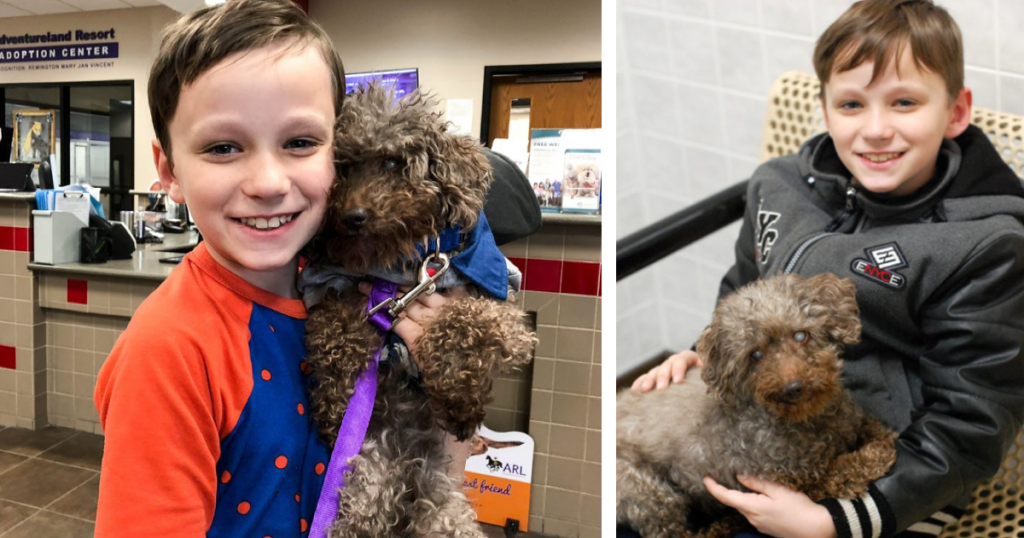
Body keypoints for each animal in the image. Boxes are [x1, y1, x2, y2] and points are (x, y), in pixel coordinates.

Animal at [301, 80, 536, 536]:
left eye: (392, 161)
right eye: (343, 167)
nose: (352, 216)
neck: (399, 264)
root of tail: (410, 474)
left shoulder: (497, 298)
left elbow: (464, 324)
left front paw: (461, 399)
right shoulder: (331, 284)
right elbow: (338, 331)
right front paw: (335, 404)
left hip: (445, 513)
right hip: (368, 481)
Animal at [614, 274, 897, 532]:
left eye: (800, 336)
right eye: (756, 355)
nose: (793, 388)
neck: (808, 420)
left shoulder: (852, 422)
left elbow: (874, 428)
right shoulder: (801, 482)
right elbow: (847, 469)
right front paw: (876, 454)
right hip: (648, 494)